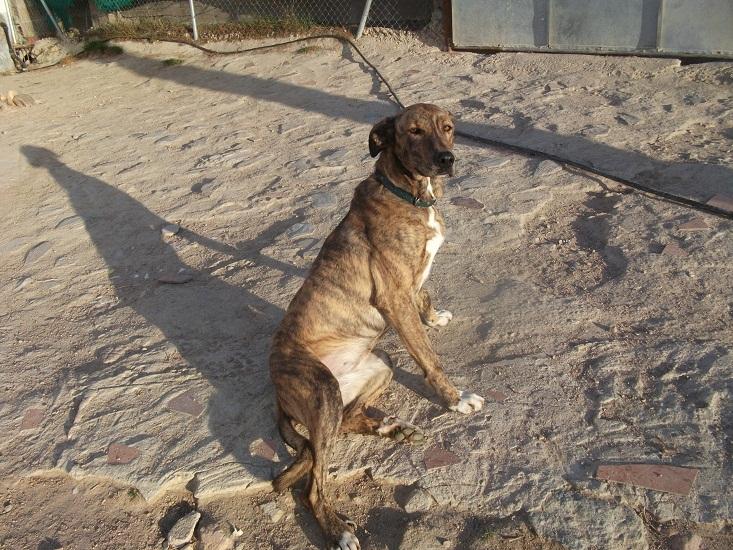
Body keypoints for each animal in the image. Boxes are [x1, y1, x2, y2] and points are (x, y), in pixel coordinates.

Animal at [268, 104, 480, 550]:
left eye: (448, 128)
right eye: (414, 131)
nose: (447, 160)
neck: (410, 194)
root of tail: (276, 391)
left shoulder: (409, 286)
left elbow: (424, 295)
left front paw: (433, 317)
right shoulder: (393, 297)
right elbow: (429, 358)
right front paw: (456, 399)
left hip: (379, 363)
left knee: (347, 421)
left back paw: (388, 426)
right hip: (322, 390)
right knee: (313, 484)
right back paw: (338, 530)